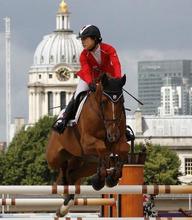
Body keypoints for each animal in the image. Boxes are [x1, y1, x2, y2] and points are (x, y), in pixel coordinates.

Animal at [45, 73, 130, 217]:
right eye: (104, 102)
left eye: (122, 101)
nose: (112, 134)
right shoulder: (87, 142)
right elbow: (102, 147)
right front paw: (100, 179)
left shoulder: (119, 141)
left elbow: (124, 149)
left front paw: (112, 178)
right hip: (54, 157)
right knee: (62, 167)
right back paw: (63, 189)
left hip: (85, 163)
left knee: (72, 174)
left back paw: (65, 205)